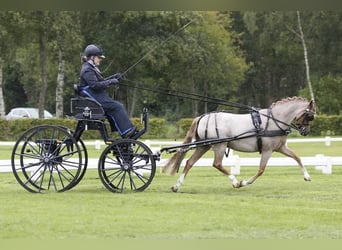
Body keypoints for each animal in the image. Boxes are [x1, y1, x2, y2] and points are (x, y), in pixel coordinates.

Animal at [163, 96, 316, 192]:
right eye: (310, 116)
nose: (306, 132)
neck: (274, 120)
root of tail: (202, 117)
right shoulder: (268, 150)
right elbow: (261, 170)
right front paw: (244, 182)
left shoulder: (280, 147)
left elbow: (297, 157)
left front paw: (307, 176)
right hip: (220, 145)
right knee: (217, 164)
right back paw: (235, 182)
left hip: (204, 146)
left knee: (189, 162)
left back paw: (176, 186)